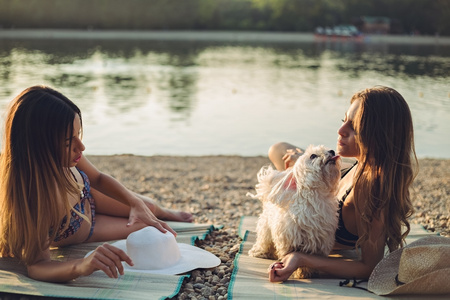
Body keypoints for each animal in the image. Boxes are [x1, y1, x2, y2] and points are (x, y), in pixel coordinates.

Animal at [246, 144, 342, 278]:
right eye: (313, 156)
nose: (332, 151)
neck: (315, 198)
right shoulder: (289, 239)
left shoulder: (320, 241)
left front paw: (306, 273)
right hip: (265, 226)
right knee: (264, 239)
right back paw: (259, 252)